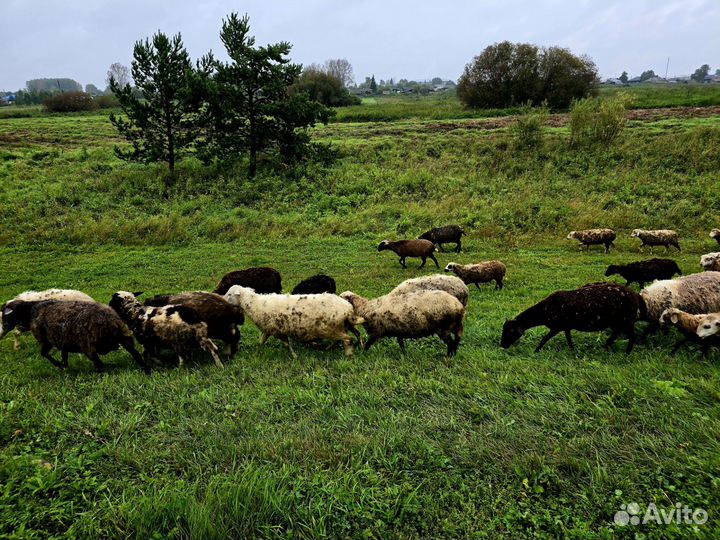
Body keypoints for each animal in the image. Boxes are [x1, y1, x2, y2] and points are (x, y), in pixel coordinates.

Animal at [0, 300, 150, 373]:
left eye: (5, 316)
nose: (2, 332)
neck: (30, 312)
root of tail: (110, 321)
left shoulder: (46, 340)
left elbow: (44, 354)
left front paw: (59, 365)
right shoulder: (63, 341)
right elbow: (64, 355)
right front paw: (64, 366)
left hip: (88, 346)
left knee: (100, 365)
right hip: (124, 337)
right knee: (136, 354)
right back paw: (146, 370)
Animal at [224, 286, 364, 357]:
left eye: (230, 294)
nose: (221, 299)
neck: (255, 304)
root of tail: (347, 307)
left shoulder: (277, 331)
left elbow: (286, 344)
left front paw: (294, 356)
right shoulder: (269, 329)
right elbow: (261, 341)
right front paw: (257, 352)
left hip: (331, 329)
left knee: (347, 339)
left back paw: (348, 353)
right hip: (341, 326)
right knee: (352, 335)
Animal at [501, 282, 645, 353]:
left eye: (510, 331)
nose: (502, 345)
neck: (544, 310)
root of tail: (636, 296)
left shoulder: (557, 327)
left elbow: (544, 338)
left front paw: (536, 350)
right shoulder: (566, 327)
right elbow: (569, 339)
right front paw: (572, 350)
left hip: (626, 320)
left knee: (633, 336)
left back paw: (626, 353)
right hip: (620, 321)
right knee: (617, 333)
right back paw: (607, 345)